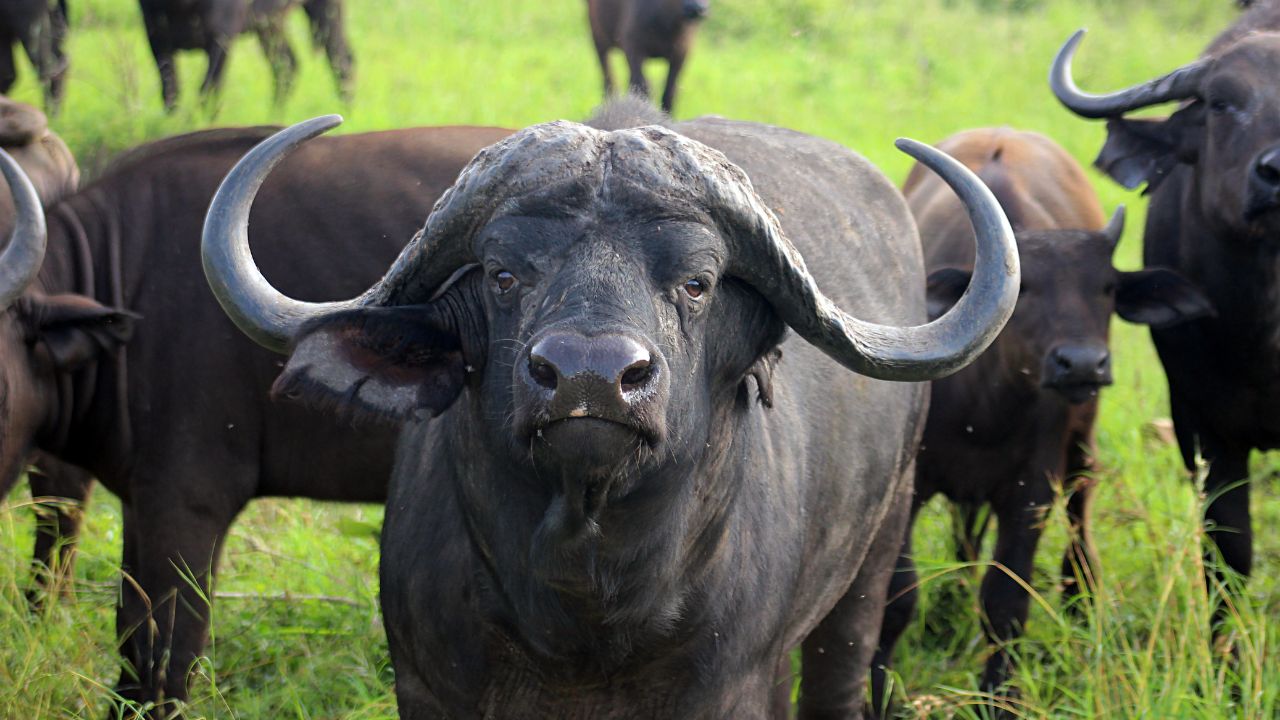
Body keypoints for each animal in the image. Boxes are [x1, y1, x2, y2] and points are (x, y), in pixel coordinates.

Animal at [138, 0, 355, 111]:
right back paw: (274, 114)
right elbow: (170, 93)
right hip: (269, 23)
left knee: (342, 60)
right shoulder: (156, 38)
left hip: (326, 9)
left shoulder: (222, 37)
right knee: (287, 66)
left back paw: (346, 110)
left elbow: (208, 91)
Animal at [202, 102, 1018, 717]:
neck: (585, 606)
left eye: (696, 282)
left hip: (873, 566)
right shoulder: (426, 686)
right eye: (502, 273)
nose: (587, 378)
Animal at [870, 127, 1208, 707]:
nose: (1082, 363)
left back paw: (1079, 597)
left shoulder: (1031, 489)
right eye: (1024, 288)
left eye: (1108, 288)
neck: (985, 405)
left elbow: (1005, 601)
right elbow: (896, 599)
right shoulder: (909, 487)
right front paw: (882, 693)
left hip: (1082, 443)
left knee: (1079, 511)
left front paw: (999, 698)